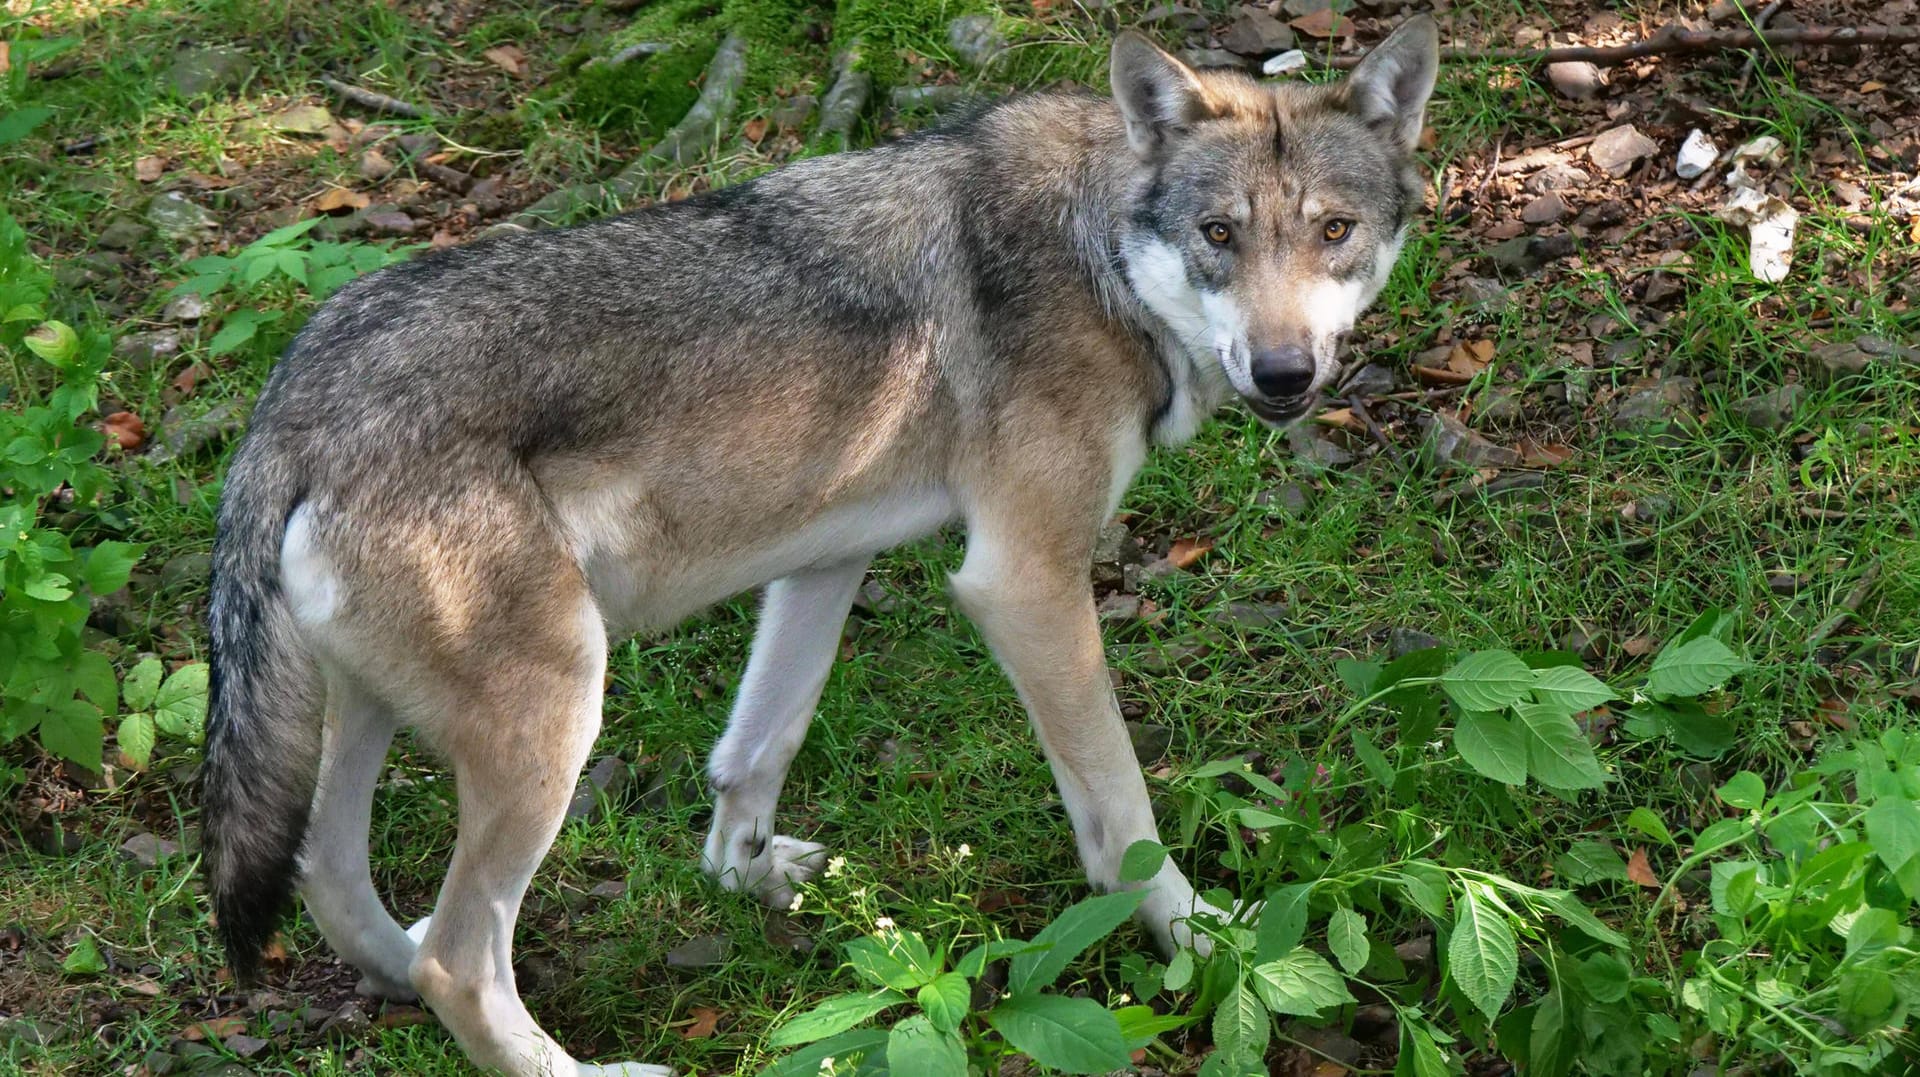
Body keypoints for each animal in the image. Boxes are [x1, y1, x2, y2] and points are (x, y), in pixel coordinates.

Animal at [202, 18, 1443, 1075]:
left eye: (1333, 230)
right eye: (1219, 235)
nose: (1285, 374)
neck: (1095, 254)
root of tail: (291, 405)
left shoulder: (824, 560)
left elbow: (755, 752)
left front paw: (751, 884)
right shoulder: (1022, 583)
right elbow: (1121, 815)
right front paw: (1202, 936)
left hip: (369, 719)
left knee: (335, 883)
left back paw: (395, 964)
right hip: (556, 713)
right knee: (461, 962)